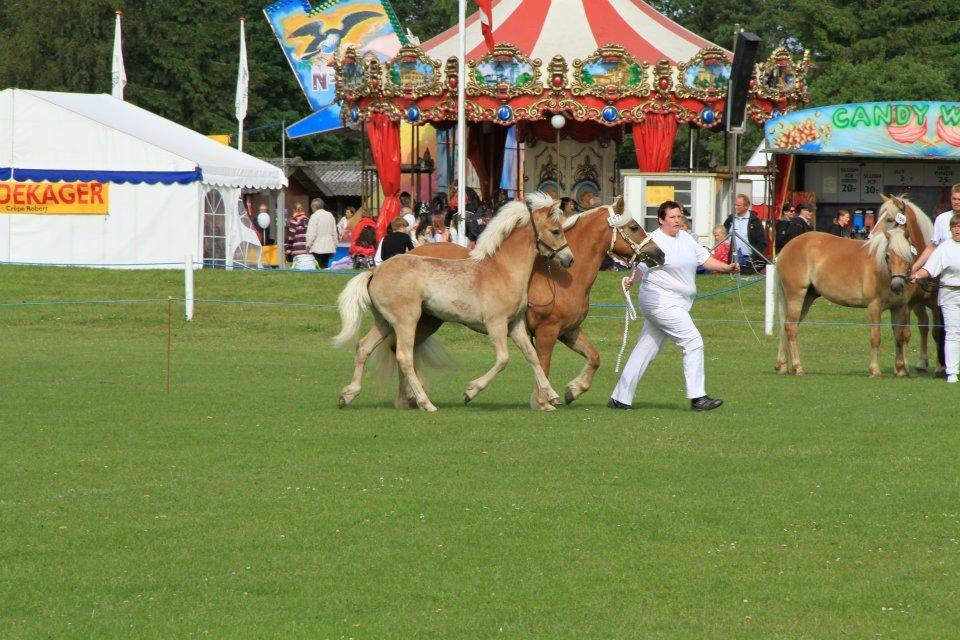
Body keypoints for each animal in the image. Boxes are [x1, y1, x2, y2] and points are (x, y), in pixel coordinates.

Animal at [332, 192, 568, 412]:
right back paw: (425, 403)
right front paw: (470, 391)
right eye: (556, 231)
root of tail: (375, 272)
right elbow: (503, 359)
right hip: (406, 321)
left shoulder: (515, 325)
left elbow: (532, 357)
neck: (503, 270)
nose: (569, 259)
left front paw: (552, 395)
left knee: (364, 347)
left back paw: (348, 395)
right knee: (404, 357)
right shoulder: (496, 324)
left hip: (384, 322)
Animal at [380, 195, 660, 410]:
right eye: (634, 227)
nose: (659, 254)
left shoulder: (568, 331)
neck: (561, 276)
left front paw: (573, 389)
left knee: (401, 350)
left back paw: (410, 398)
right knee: (402, 351)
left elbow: (594, 357)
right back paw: (415, 396)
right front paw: (543, 400)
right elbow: (543, 364)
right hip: (425, 321)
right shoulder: (547, 332)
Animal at [768, 200, 920, 378]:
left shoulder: (899, 308)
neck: (883, 270)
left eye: (908, 256)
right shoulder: (874, 306)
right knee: (791, 328)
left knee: (787, 326)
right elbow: (875, 338)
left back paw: (783, 365)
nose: (897, 286)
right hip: (795, 296)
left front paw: (901, 369)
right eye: (888, 255)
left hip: (806, 298)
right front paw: (875, 370)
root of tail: (787, 248)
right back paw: (798, 367)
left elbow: (899, 337)